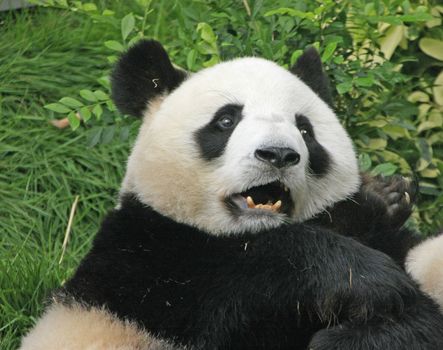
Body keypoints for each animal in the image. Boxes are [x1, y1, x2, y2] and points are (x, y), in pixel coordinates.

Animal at [21, 39, 443, 348]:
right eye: (226, 120)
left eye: (305, 130)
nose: (278, 154)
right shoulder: (149, 269)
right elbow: (244, 281)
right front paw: (370, 279)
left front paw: (382, 198)